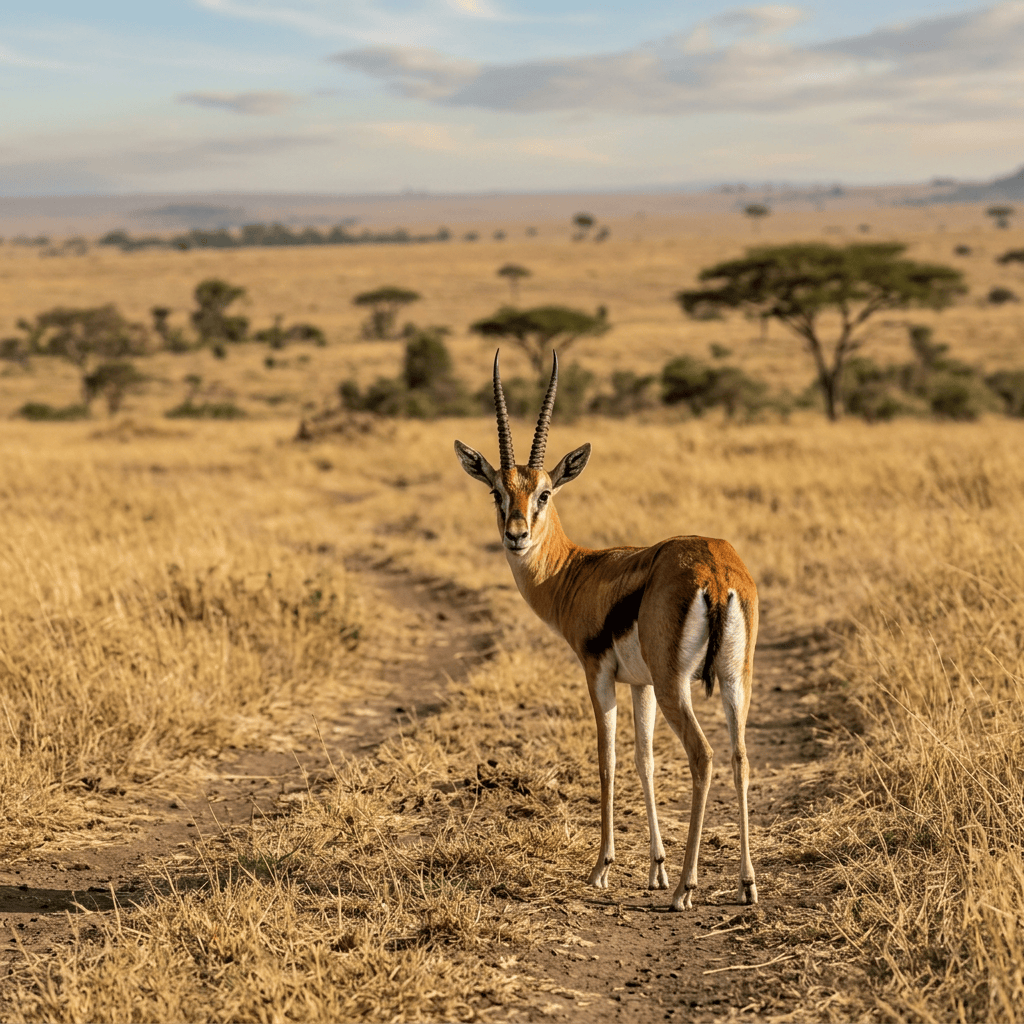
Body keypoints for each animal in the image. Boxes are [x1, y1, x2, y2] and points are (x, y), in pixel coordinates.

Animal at [454, 352, 758, 910]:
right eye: (496, 491)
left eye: (544, 493)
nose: (516, 535)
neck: (577, 570)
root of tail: (717, 571)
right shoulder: (641, 685)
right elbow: (644, 761)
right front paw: (655, 868)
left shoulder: (598, 672)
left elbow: (608, 759)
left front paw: (602, 869)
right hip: (734, 680)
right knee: (740, 757)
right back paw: (745, 884)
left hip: (677, 685)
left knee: (703, 756)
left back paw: (686, 889)